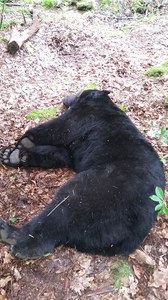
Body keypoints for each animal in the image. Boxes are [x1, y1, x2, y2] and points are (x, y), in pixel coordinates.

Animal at [0, 88, 165, 258]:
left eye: (78, 92)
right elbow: (57, 154)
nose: (66, 96)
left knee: (62, 210)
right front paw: (14, 155)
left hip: (101, 189)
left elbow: (58, 128)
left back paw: (11, 233)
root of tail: (133, 235)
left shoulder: (83, 115)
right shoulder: (73, 150)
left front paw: (25, 141)